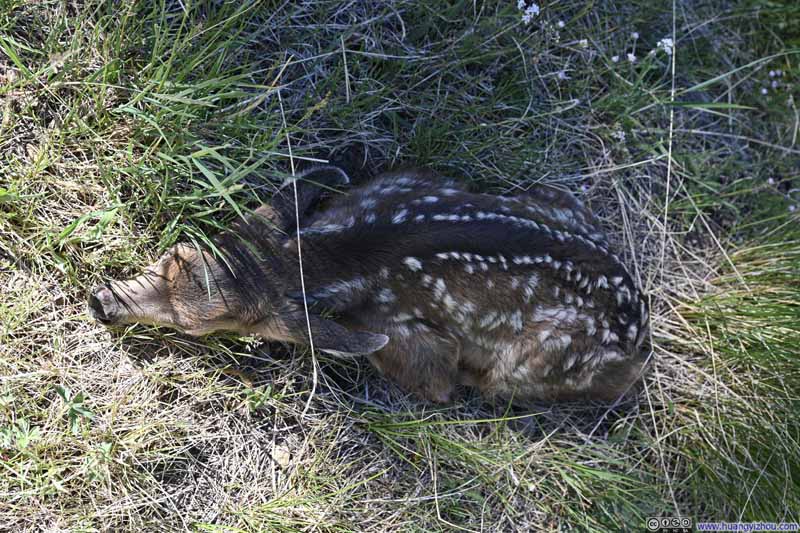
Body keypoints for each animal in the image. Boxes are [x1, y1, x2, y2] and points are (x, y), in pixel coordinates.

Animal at [88, 166, 650, 403]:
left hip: (540, 360)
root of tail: (640, 329)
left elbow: (433, 381)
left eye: (199, 326)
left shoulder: (409, 337)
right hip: (557, 198)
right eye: (173, 253)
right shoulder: (400, 183)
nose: (102, 301)